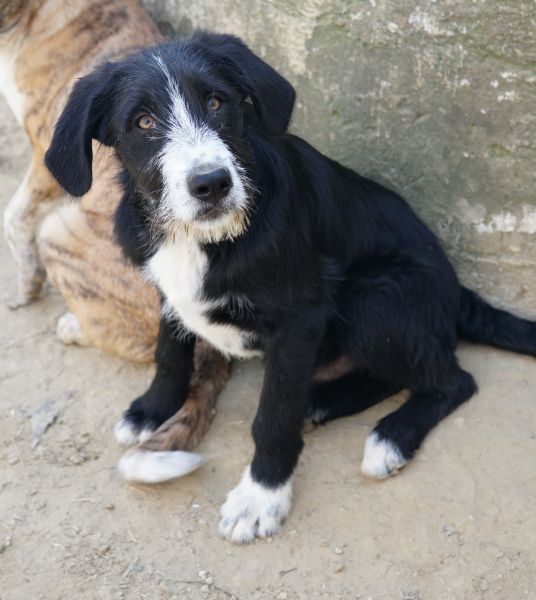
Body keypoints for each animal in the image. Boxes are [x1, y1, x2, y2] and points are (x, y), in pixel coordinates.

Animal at [44, 32, 536, 543]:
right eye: (142, 122)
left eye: (216, 101)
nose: (211, 184)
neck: (207, 239)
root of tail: (458, 292)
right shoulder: (168, 293)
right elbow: (169, 351)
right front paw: (151, 408)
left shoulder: (301, 320)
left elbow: (274, 414)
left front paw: (262, 495)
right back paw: (322, 403)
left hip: (372, 298)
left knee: (454, 380)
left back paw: (391, 438)